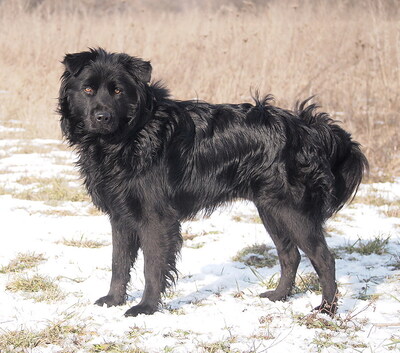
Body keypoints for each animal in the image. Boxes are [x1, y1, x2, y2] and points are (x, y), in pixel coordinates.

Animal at [57, 47, 368, 316]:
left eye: (118, 91)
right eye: (88, 89)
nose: (102, 116)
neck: (130, 136)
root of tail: (310, 128)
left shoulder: (156, 218)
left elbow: (152, 267)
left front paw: (145, 308)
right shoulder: (120, 215)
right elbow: (118, 263)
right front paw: (113, 300)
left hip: (293, 211)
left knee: (324, 258)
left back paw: (327, 309)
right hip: (271, 209)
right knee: (290, 255)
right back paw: (279, 296)